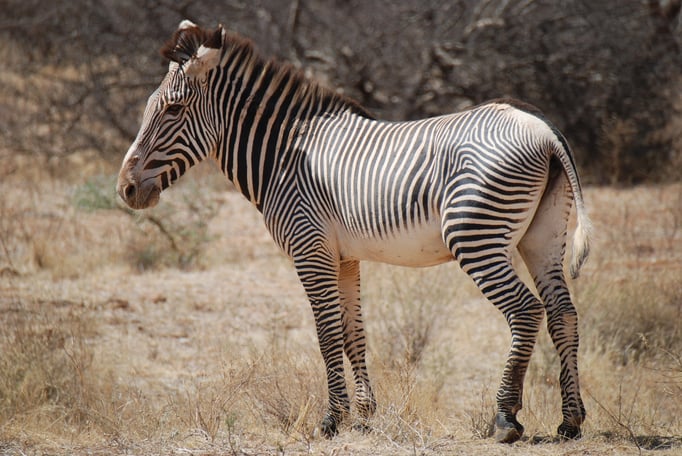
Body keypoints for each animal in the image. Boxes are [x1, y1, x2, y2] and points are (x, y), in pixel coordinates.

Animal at [117, 21, 591, 443]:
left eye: (173, 110)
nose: (125, 189)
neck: (283, 156)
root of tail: (543, 129)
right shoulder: (344, 257)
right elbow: (353, 334)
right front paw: (364, 414)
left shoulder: (310, 250)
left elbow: (327, 334)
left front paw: (332, 419)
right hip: (542, 236)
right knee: (563, 312)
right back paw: (570, 421)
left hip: (475, 235)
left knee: (526, 311)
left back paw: (505, 419)